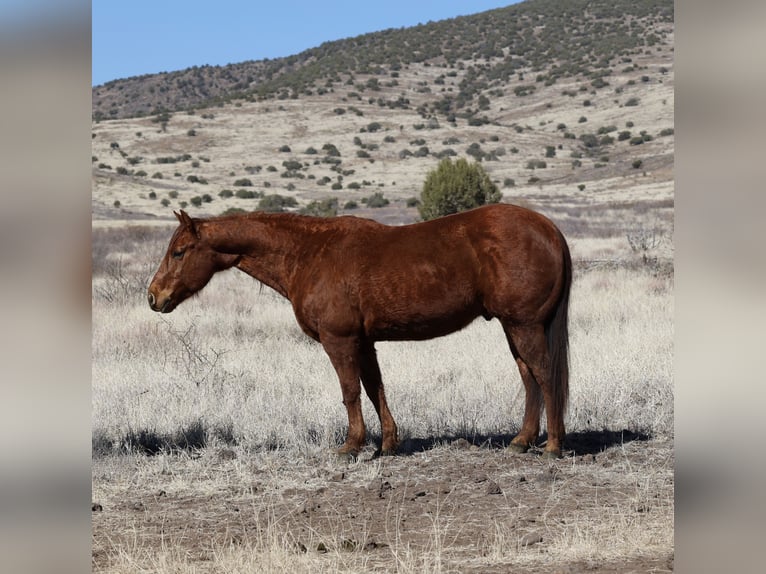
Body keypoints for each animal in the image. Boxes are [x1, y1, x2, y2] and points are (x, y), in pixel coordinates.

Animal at [148, 205, 568, 462]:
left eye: (180, 252)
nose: (154, 296)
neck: (310, 253)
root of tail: (547, 227)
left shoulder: (341, 341)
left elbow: (350, 392)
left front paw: (351, 446)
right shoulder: (365, 343)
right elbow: (374, 388)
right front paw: (388, 444)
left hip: (524, 325)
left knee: (544, 376)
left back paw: (552, 445)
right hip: (514, 327)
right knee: (529, 377)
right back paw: (521, 441)